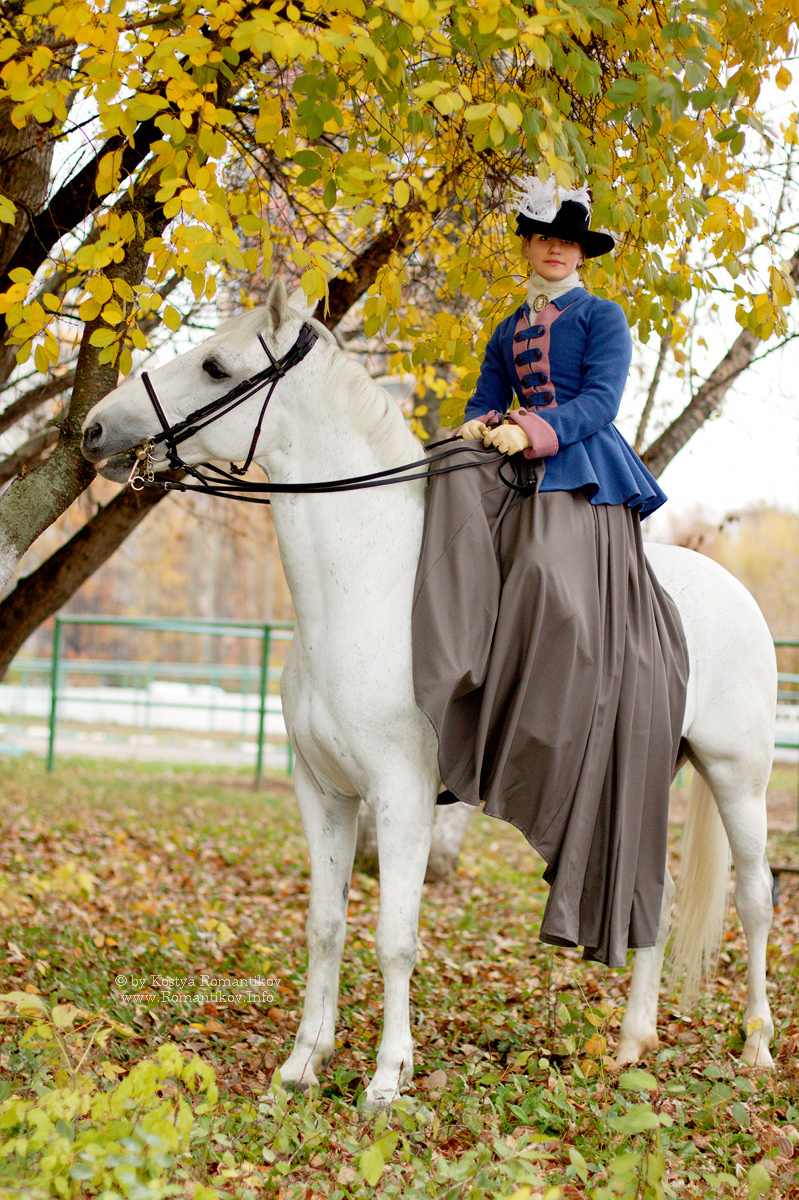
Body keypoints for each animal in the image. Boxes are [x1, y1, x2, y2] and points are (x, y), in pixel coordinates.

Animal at [80, 280, 772, 1104]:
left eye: (216, 366)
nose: (95, 428)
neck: (364, 590)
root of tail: (737, 592)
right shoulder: (323, 791)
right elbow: (325, 925)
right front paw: (302, 1064)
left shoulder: (401, 794)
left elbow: (395, 940)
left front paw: (387, 1078)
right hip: (637, 784)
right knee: (652, 898)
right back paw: (633, 1043)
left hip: (737, 779)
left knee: (755, 901)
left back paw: (757, 1048)